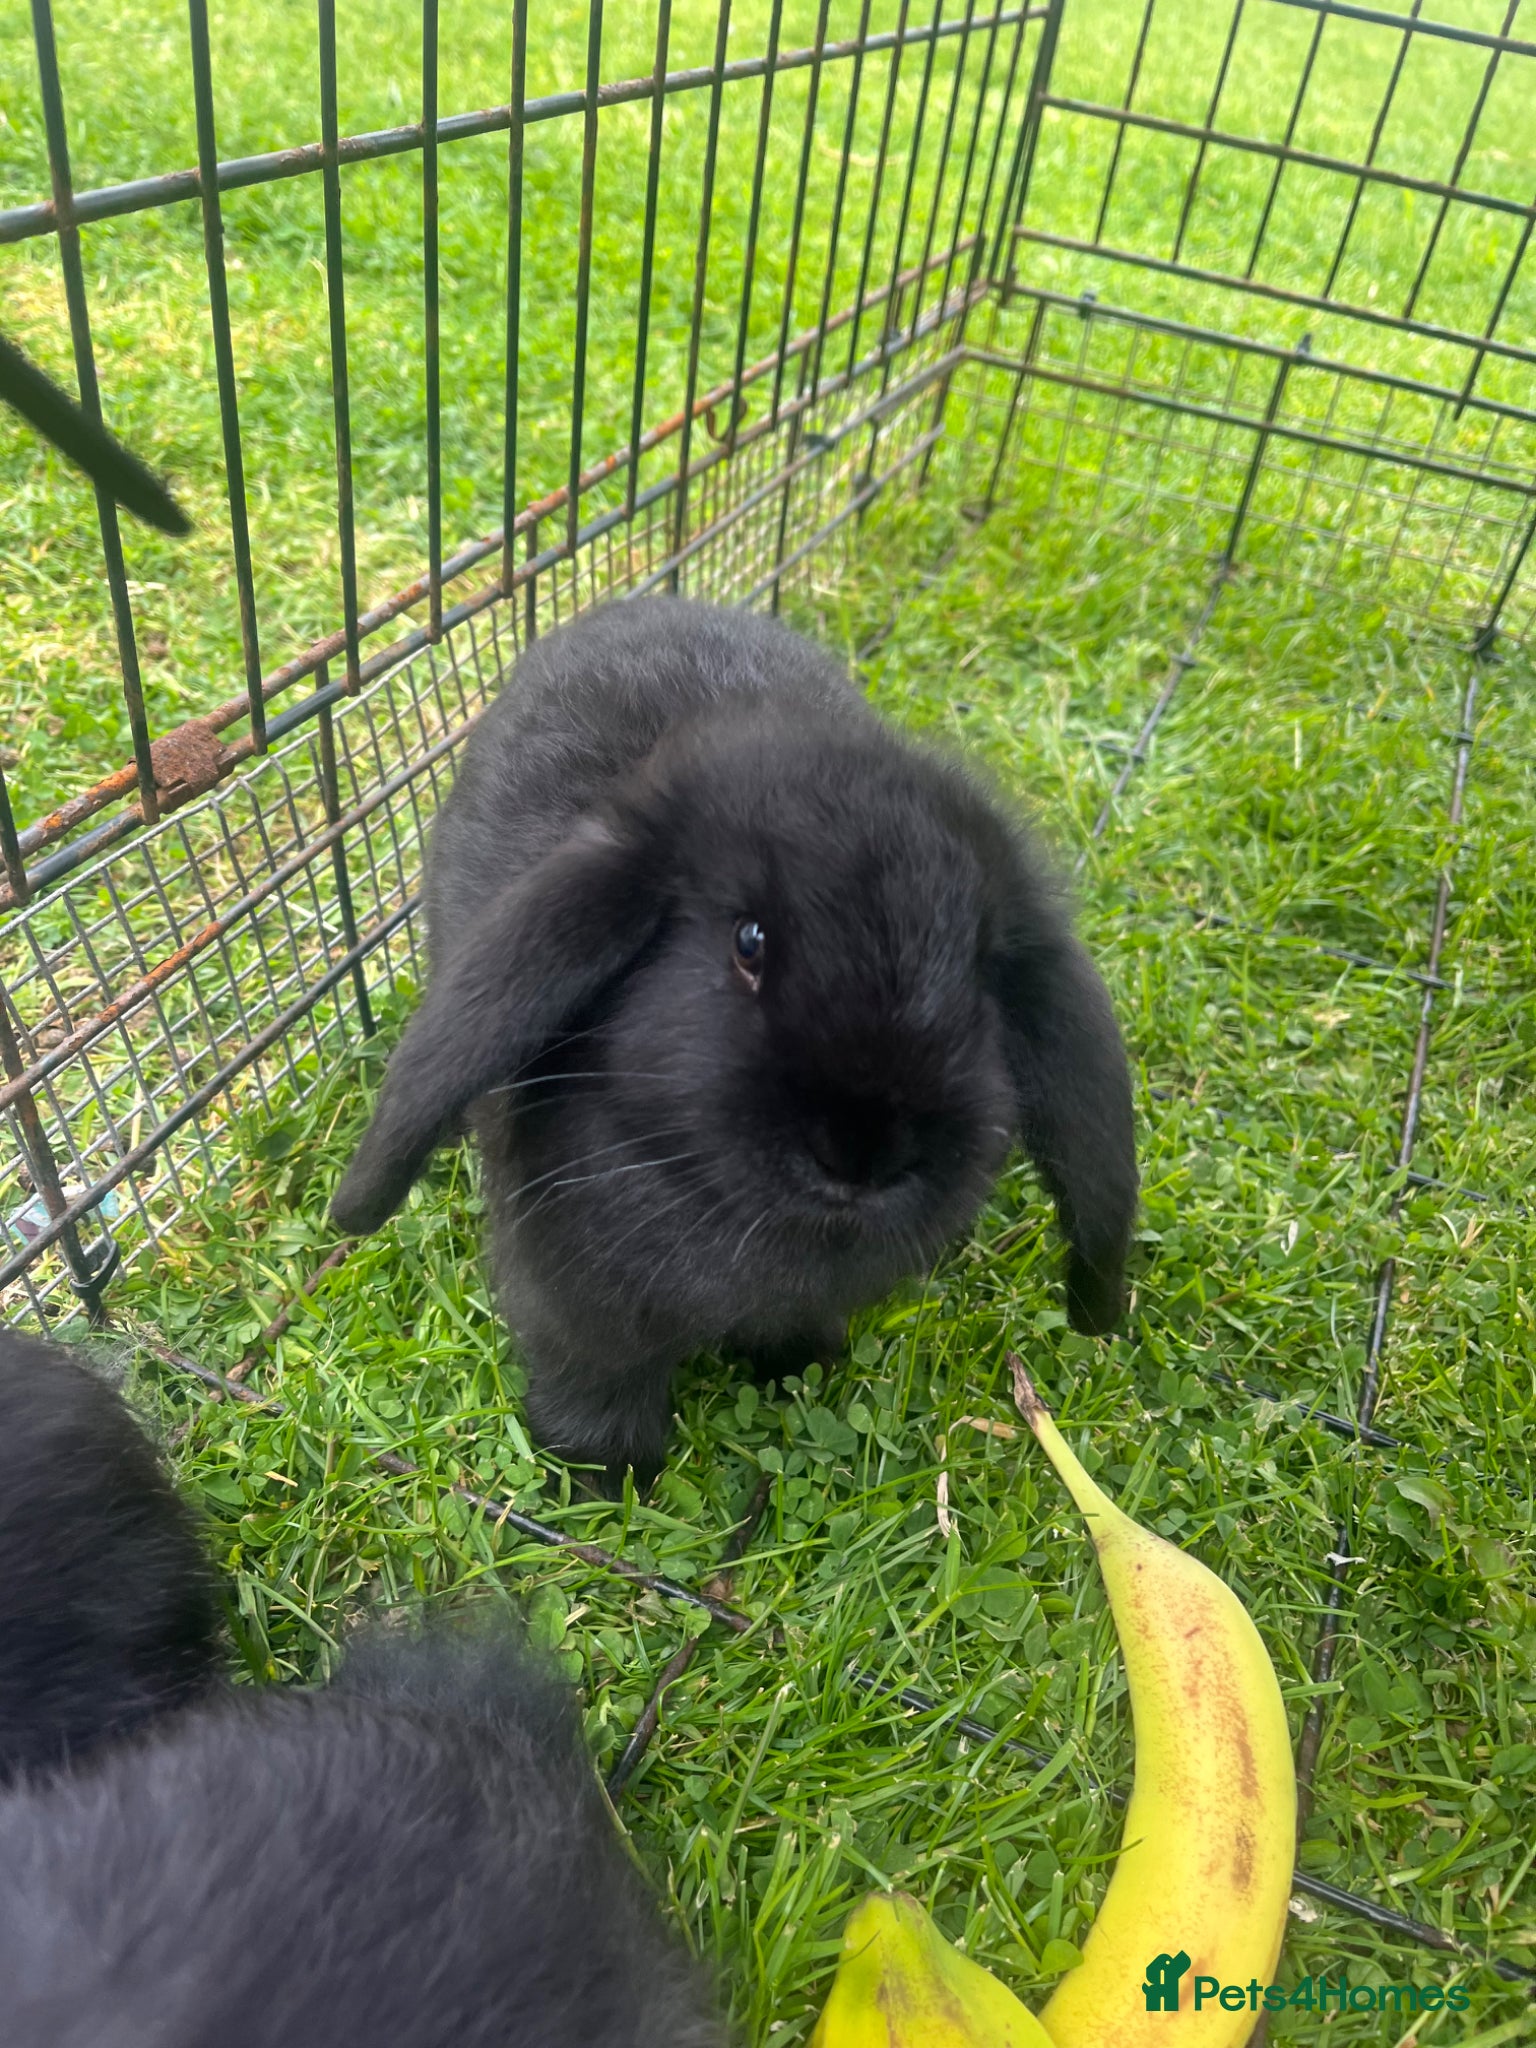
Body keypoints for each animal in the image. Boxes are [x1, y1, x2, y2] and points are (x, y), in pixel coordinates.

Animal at [332, 598, 1137, 1484]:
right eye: (749, 942)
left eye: (981, 970)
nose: (862, 1153)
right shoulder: (574, 1311)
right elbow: (594, 1385)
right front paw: (602, 1478)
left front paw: (799, 1371)